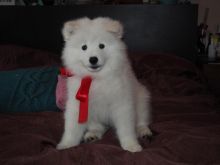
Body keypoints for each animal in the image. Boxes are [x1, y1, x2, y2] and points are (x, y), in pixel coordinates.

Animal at [55, 16, 152, 152]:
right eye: (84, 47)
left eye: (101, 46)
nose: (93, 59)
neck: (97, 78)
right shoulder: (77, 103)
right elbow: (72, 127)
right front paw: (66, 144)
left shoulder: (122, 103)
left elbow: (126, 127)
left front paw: (131, 145)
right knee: (98, 126)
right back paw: (93, 134)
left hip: (142, 99)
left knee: (141, 120)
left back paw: (144, 131)